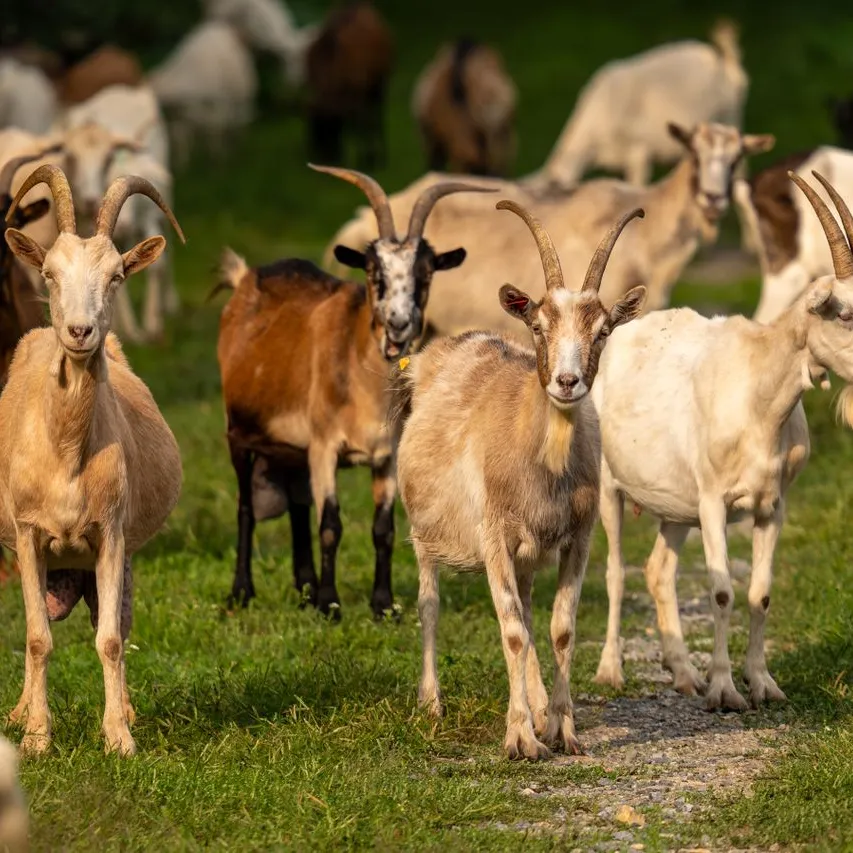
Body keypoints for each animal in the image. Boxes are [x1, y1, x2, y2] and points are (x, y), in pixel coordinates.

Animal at [1, 165, 184, 755]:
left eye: (116, 276)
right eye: (50, 273)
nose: (79, 332)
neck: (65, 453)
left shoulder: (110, 534)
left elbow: (108, 639)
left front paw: (119, 737)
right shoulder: (29, 536)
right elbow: (36, 637)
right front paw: (37, 737)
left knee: (117, 623)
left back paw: (124, 709)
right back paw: (18, 713)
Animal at [215, 166, 490, 615]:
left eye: (425, 275)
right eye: (374, 274)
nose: (398, 324)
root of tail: (245, 278)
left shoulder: (386, 456)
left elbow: (383, 529)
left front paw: (383, 604)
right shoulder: (324, 447)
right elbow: (330, 524)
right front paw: (330, 604)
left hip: (291, 449)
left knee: (296, 505)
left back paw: (304, 586)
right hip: (238, 432)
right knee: (245, 509)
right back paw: (243, 591)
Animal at [304, 1, 394, 171]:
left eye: (331, 128)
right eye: (314, 131)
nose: (327, 157)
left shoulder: (357, 94)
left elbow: (359, 126)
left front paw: (366, 159)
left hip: (380, 83)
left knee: (376, 115)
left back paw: (381, 155)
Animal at [392, 201, 646, 759]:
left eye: (603, 331)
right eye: (538, 325)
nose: (567, 382)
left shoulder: (578, 536)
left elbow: (559, 628)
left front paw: (561, 729)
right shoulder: (494, 537)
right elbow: (510, 630)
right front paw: (520, 738)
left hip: (528, 553)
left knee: (530, 616)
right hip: (423, 531)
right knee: (430, 603)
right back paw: (431, 702)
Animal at [591, 171, 853, 711]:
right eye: (844, 315)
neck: (759, 394)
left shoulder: (772, 504)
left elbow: (760, 593)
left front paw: (763, 684)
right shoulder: (713, 501)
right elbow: (722, 592)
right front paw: (725, 690)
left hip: (675, 506)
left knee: (657, 569)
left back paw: (683, 673)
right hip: (611, 487)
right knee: (615, 571)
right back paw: (611, 671)